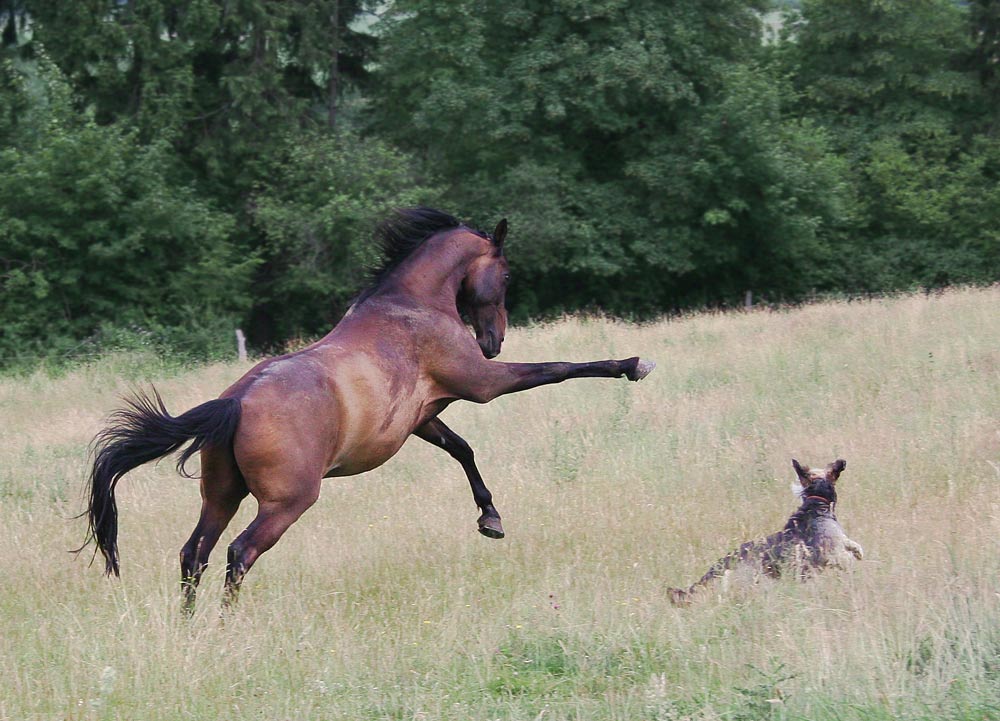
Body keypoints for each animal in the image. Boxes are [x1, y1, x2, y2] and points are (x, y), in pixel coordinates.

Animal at [84, 208, 656, 608]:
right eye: (507, 275)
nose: (493, 341)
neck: (410, 306)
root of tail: (234, 401)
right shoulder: (483, 383)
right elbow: (558, 368)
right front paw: (632, 364)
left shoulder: (423, 416)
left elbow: (463, 449)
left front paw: (490, 517)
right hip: (285, 502)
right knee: (237, 554)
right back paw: (225, 626)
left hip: (222, 495)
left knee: (193, 554)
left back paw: (189, 627)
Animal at [668, 458, 864, 604]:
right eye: (829, 468)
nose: (842, 461)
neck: (816, 503)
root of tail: (720, 564)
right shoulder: (833, 553)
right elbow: (847, 552)